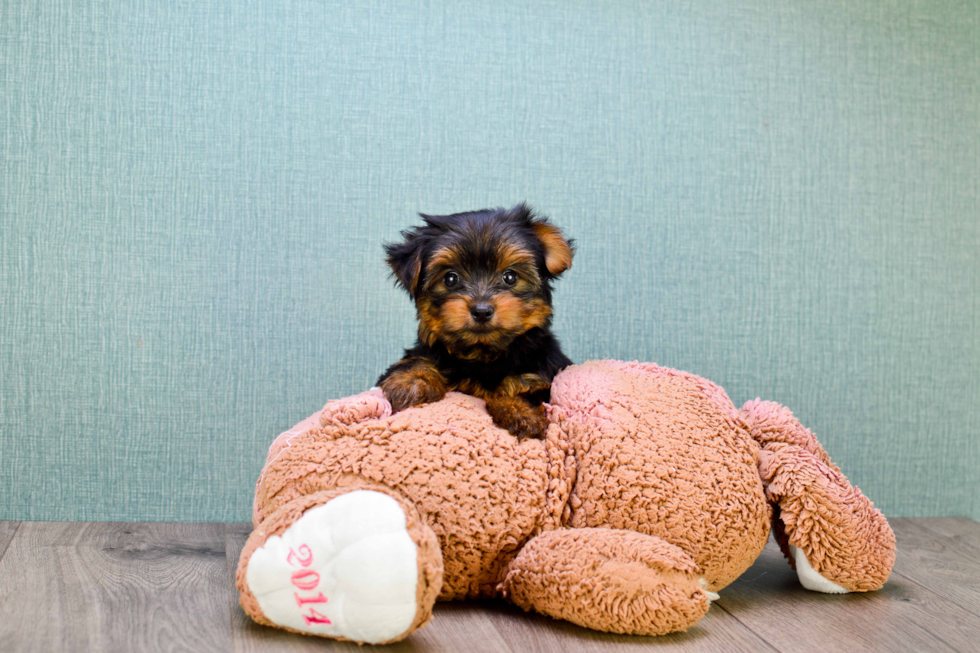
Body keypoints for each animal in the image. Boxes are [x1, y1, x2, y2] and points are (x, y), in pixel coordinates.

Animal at [378, 204, 576, 438]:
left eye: (510, 277)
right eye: (450, 278)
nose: (481, 311)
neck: (482, 354)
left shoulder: (544, 370)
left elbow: (525, 386)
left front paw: (519, 410)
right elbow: (417, 360)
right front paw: (412, 382)